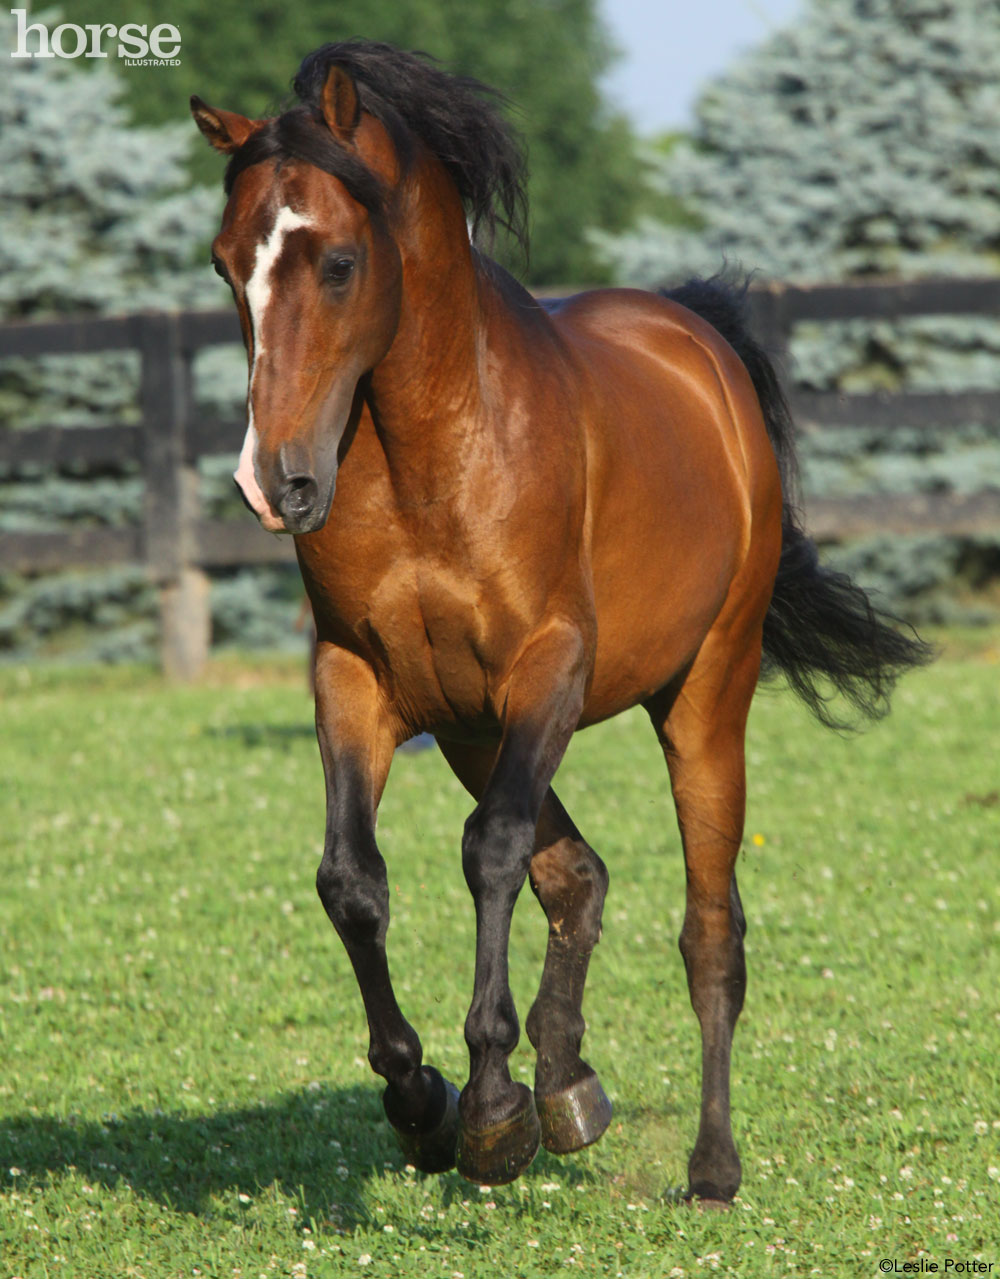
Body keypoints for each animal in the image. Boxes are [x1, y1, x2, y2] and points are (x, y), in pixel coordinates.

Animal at [194, 37, 930, 1197]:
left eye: (338, 262)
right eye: (228, 267)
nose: (277, 483)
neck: (434, 453)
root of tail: (695, 340)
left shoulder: (551, 667)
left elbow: (490, 853)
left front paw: (493, 1107)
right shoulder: (358, 679)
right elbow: (353, 878)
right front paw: (420, 1098)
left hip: (701, 699)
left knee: (708, 930)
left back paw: (708, 1165)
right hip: (468, 727)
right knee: (577, 875)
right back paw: (570, 1088)